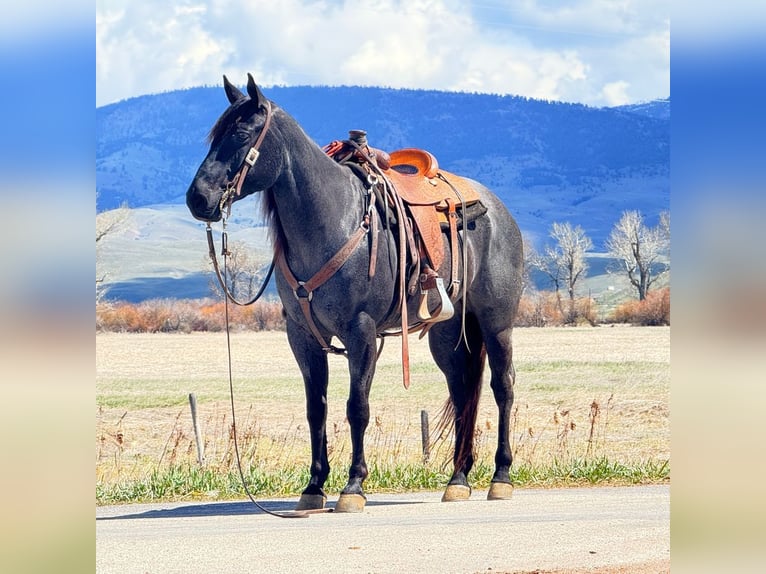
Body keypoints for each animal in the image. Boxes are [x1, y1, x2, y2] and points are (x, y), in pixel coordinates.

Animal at [186, 74, 524, 513]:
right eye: (214, 135)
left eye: (241, 134)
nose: (198, 198)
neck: (331, 221)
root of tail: (498, 210)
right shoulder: (302, 337)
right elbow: (317, 409)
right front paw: (314, 486)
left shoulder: (360, 332)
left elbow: (356, 407)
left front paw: (353, 485)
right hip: (447, 334)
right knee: (463, 390)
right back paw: (458, 479)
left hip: (496, 323)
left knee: (503, 387)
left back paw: (501, 476)